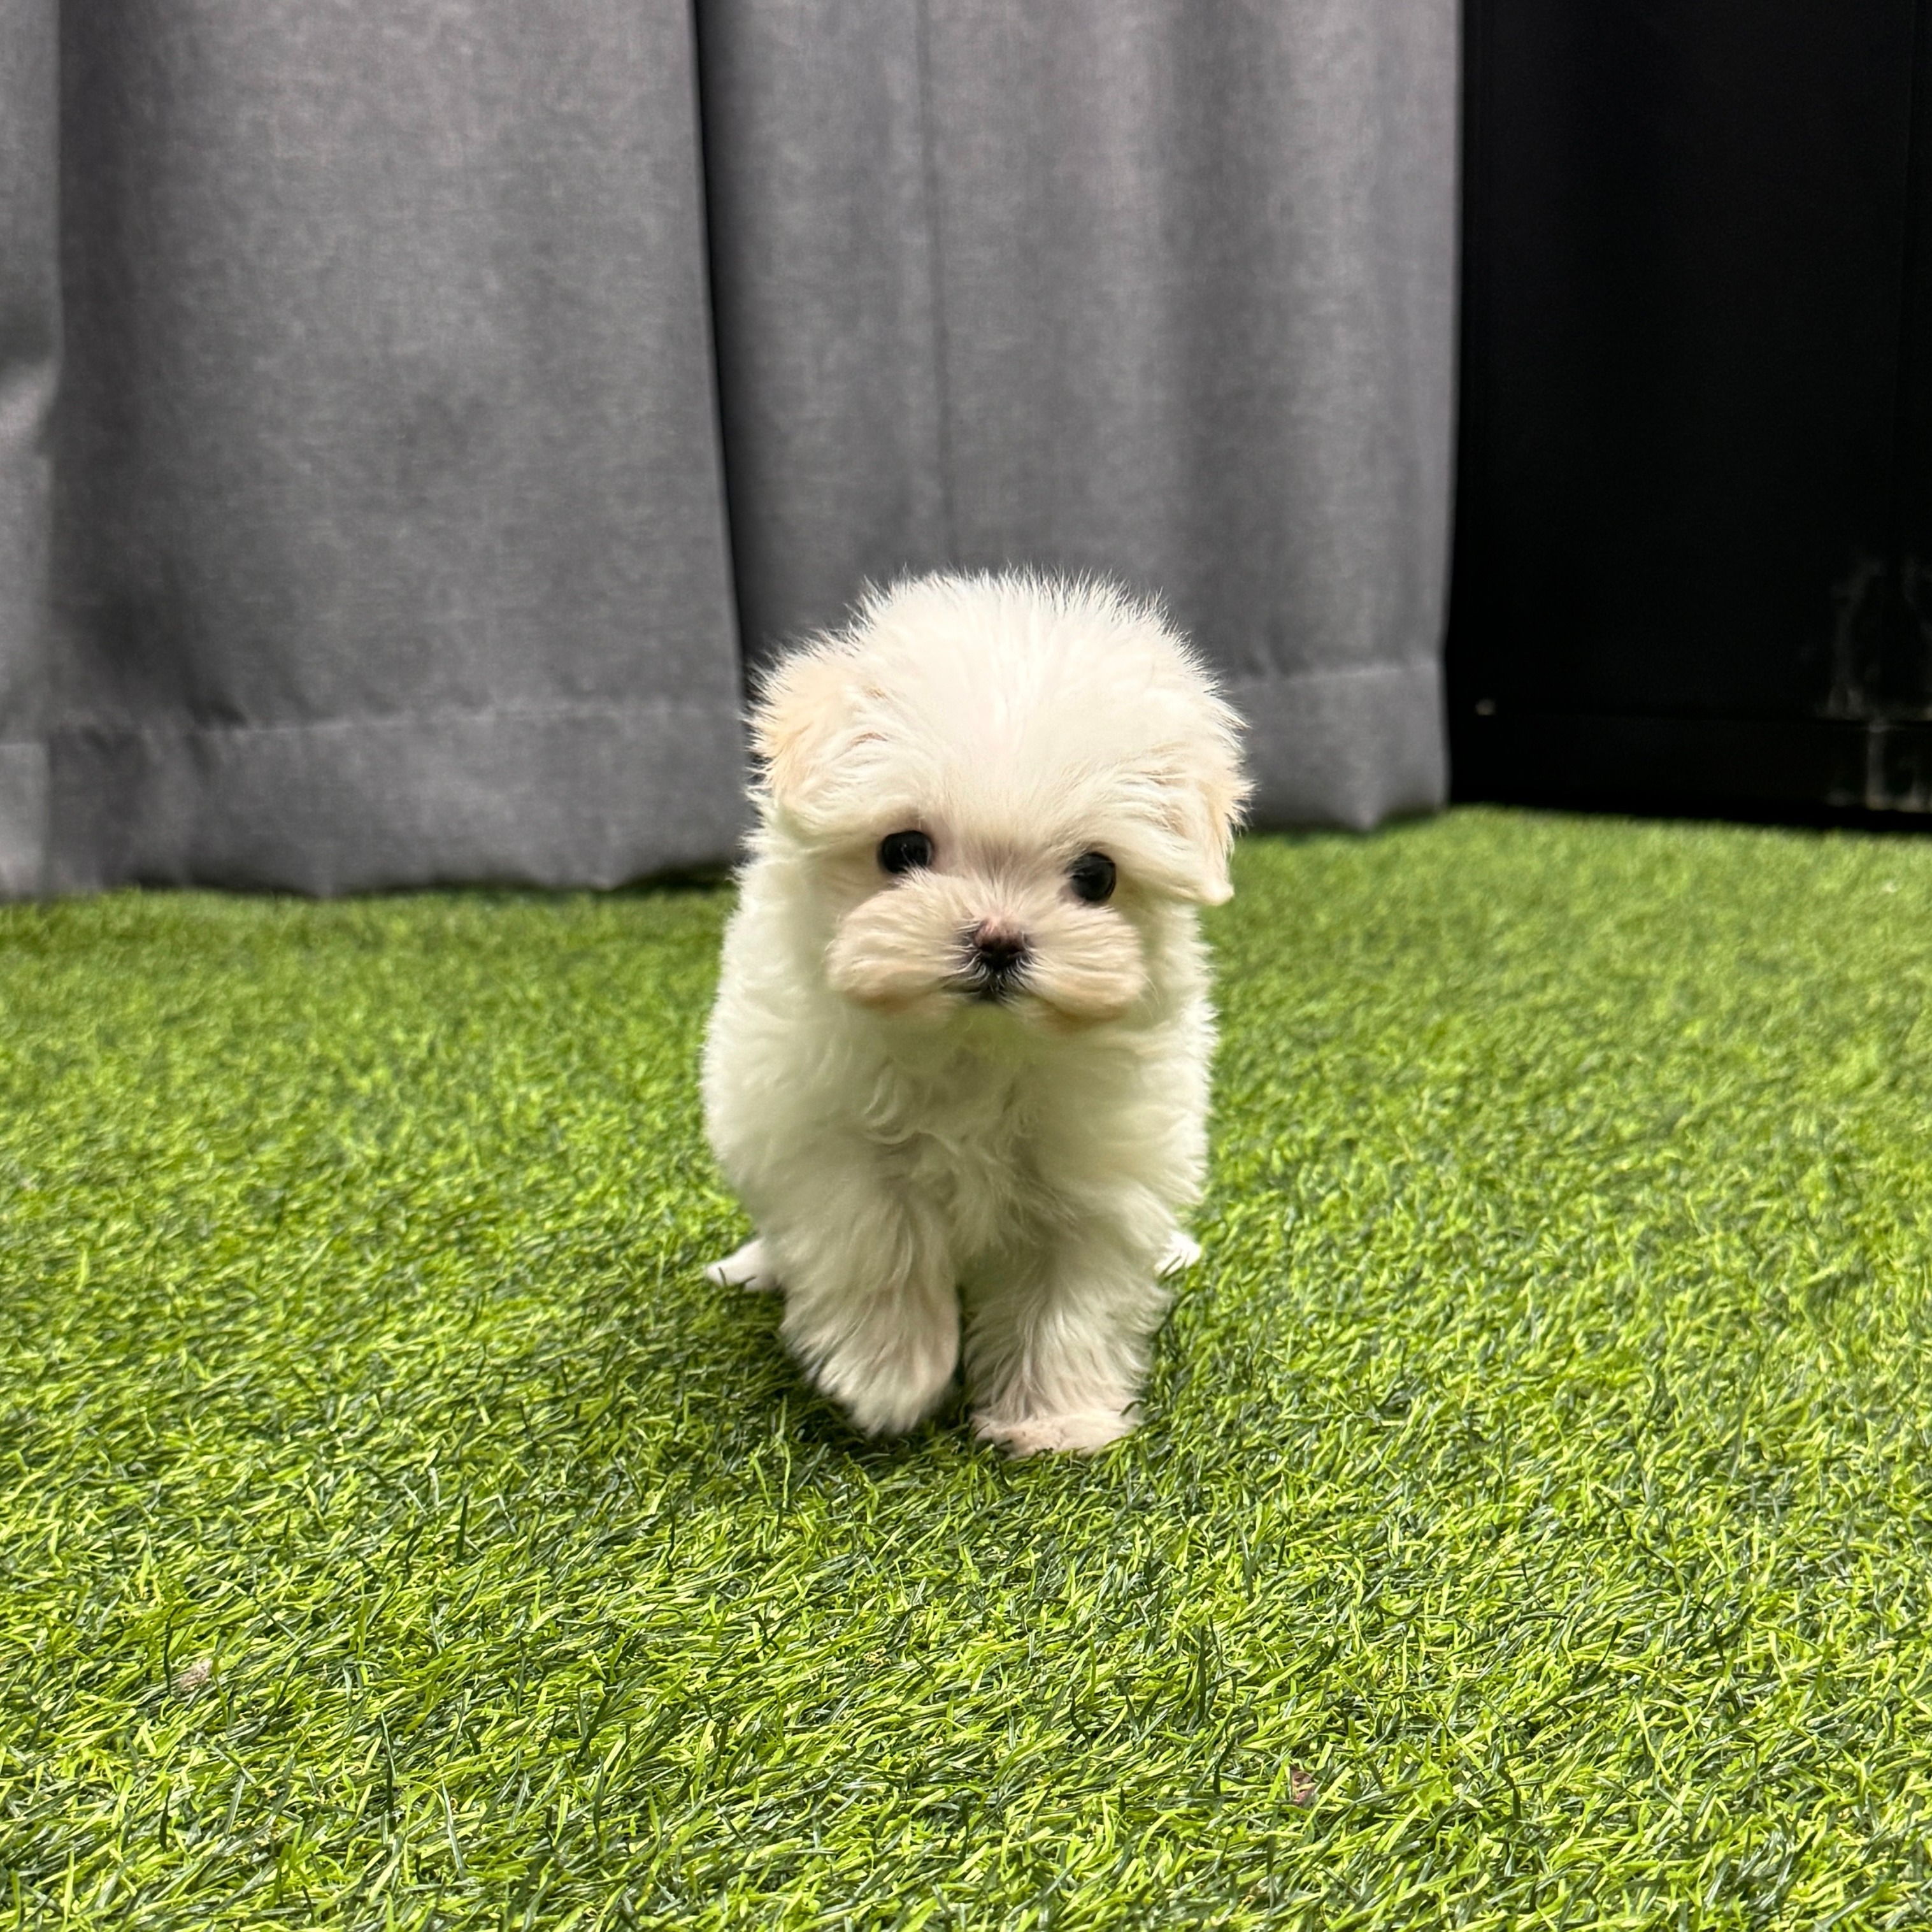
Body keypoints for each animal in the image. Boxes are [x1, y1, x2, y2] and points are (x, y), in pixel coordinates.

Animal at [701, 571, 1248, 1453]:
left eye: (1096, 876)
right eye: (903, 850)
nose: (998, 939)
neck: (975, 1044)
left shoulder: (1092, 1170)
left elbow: (1068, 1295)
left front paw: (1055, 1418)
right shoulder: (825, 1144)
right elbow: (880, 1242)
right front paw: (890, 1379)